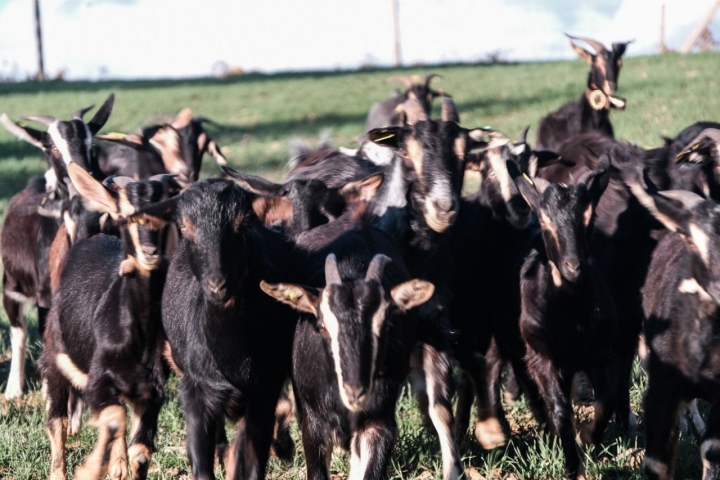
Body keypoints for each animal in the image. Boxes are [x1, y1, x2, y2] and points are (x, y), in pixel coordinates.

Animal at [0, 96, 114, 399]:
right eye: (51, 146)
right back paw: (14, 389)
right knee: (19, 331)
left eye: (91, 144)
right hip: (11, 286)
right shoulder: (44, 294)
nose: (85, 178)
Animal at [40, 163, 176, 480]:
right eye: (126, 216)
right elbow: (114, 418)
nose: (150, 253)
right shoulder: (97, 381)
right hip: (54, 356)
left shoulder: (152, 391)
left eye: (165, 215)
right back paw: (62, 471)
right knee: (57, 422)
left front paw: (122, 465)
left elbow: (141, 451)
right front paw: (92, 468)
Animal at [509, 156, 616, 479]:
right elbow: (559, 408)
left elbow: (607, 400)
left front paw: (588, 435)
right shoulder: (541, 356)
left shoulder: (598, 352)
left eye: (590, 218)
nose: (573, 266)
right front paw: (572, 466)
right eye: (545, 221)